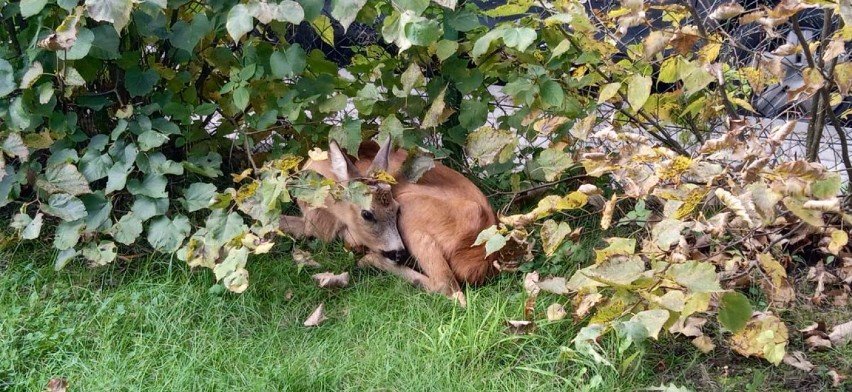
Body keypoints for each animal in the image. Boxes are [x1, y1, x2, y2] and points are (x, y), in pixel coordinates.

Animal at [278, 138, 500, 306]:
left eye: (395, 209)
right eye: (367, 214)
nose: (400, 253)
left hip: (412, 210)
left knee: (449, 288)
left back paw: (369, 260)